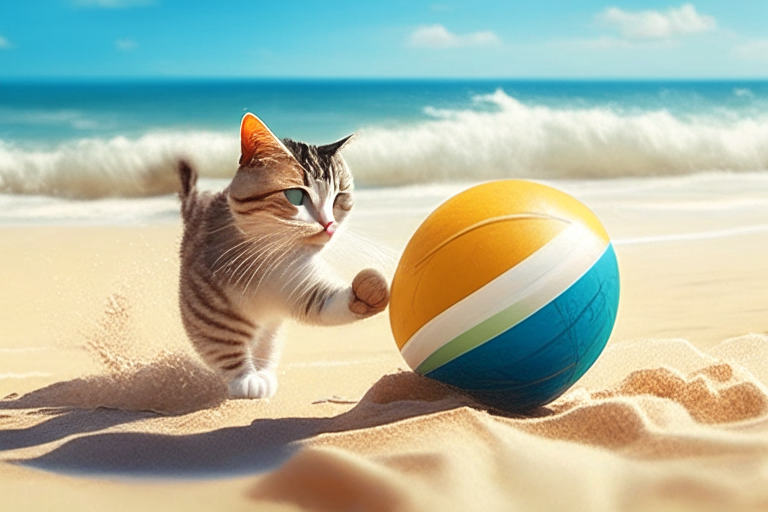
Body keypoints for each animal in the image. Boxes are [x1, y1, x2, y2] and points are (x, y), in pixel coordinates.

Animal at [178, 113, 390, 400]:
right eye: (295, 196)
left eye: (339, 197)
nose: (329, 224)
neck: (269, 258)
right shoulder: (208, 308)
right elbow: (224, 343)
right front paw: (245, 379)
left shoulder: (300, 287)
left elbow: (329, 304)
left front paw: (367, 294)